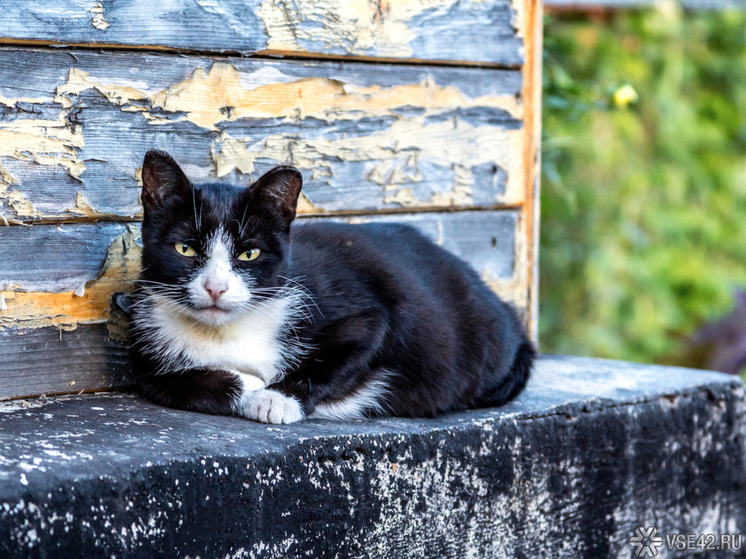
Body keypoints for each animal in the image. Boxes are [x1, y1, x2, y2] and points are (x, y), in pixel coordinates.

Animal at [129, 149, 536, 424]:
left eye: (248, 253)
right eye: (185, 249)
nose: (216, 288)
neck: (224, 332)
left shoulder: (366, 313)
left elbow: (340, 356)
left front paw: (276, 398)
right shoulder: (145, 356)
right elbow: (180, 383)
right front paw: (251, 387)